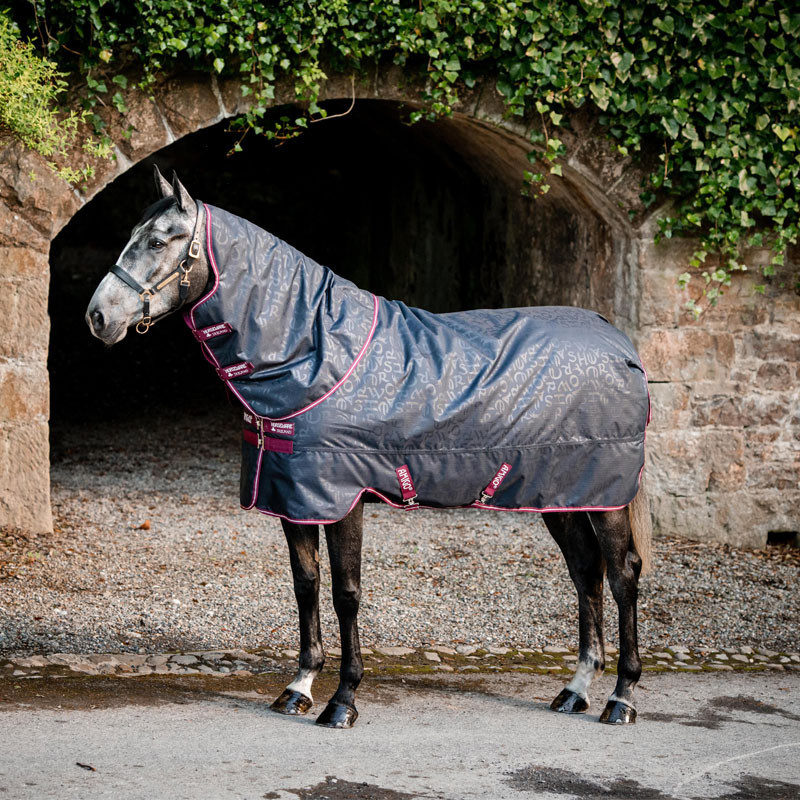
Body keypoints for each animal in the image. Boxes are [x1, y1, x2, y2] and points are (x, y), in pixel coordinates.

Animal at [86, 167, 652, 729]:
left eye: (157, 241)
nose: (97, 317)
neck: (314, 351)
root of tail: (618, 342)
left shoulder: (342, 496)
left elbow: (346, 593)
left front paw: (343, 701)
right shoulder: (294, 497)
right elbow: (306, 585)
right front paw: (299, 687)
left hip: (606, 496)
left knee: (622, 574)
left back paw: (621, 698)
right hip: (561, 493)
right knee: (586, 570)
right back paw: (575, 690)